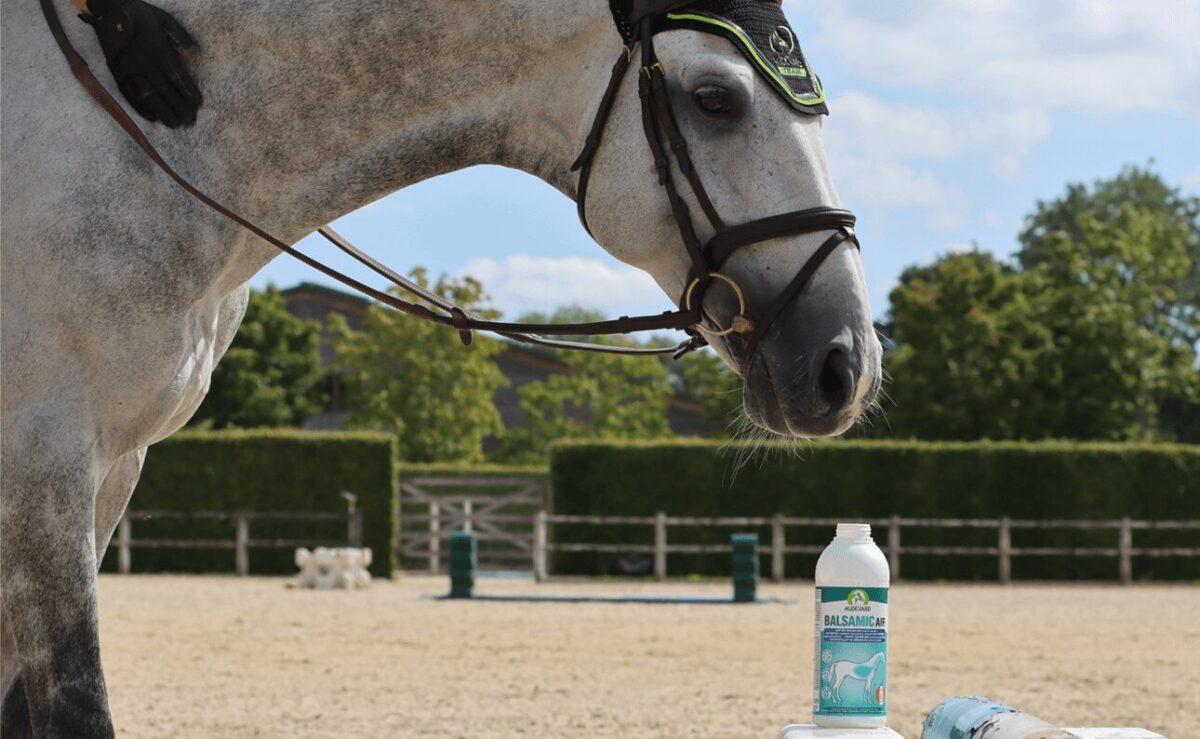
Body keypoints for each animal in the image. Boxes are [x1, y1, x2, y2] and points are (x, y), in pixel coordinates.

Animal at [1, 0, 881, 734]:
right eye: (714, 99)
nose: (845, 365)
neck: (159, 129)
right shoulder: (45, 448)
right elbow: (75, 705)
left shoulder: (116, 461)